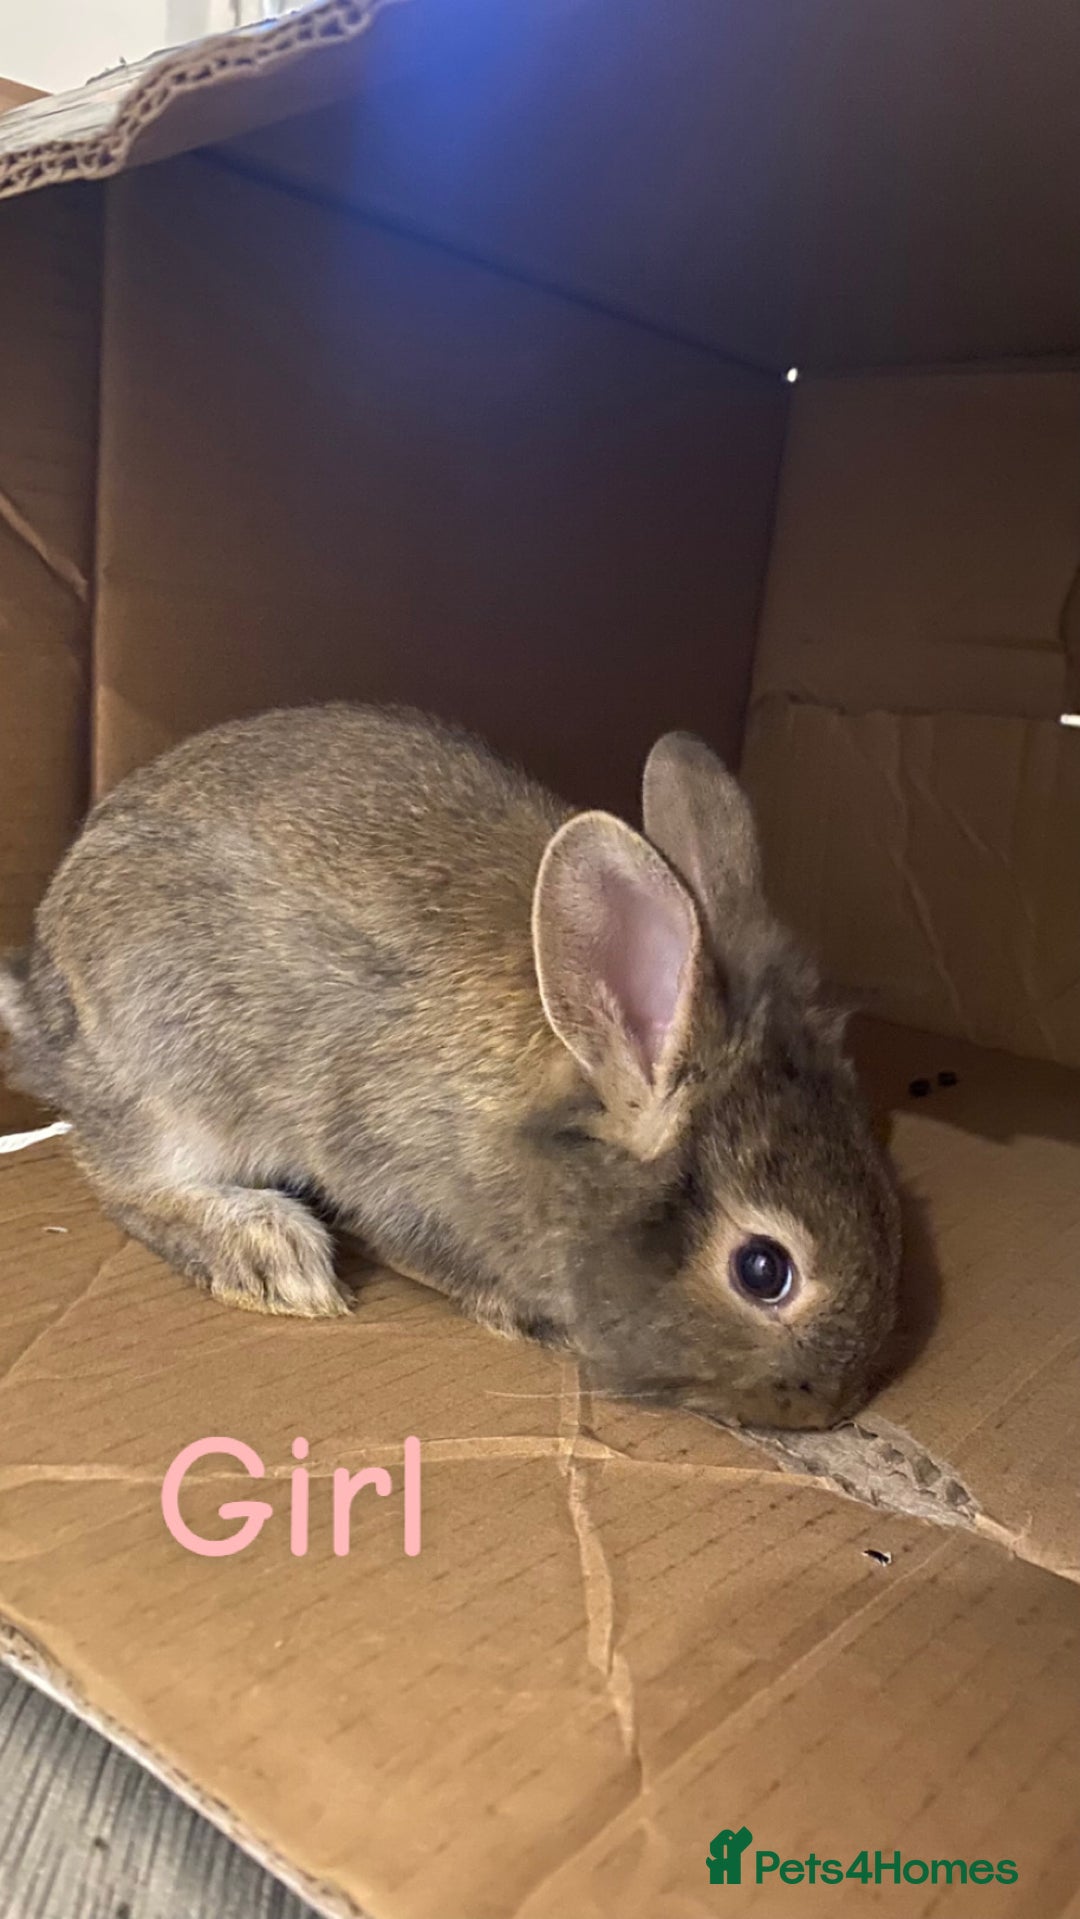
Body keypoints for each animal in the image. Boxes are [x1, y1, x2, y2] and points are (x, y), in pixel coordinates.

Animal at [0, 703, 900, 1430]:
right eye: (763, 1270)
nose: (839, 1399)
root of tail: (42, 1007)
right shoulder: (391, 1165)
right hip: (168, 1083)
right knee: (123, 1177)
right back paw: (272, 1257)